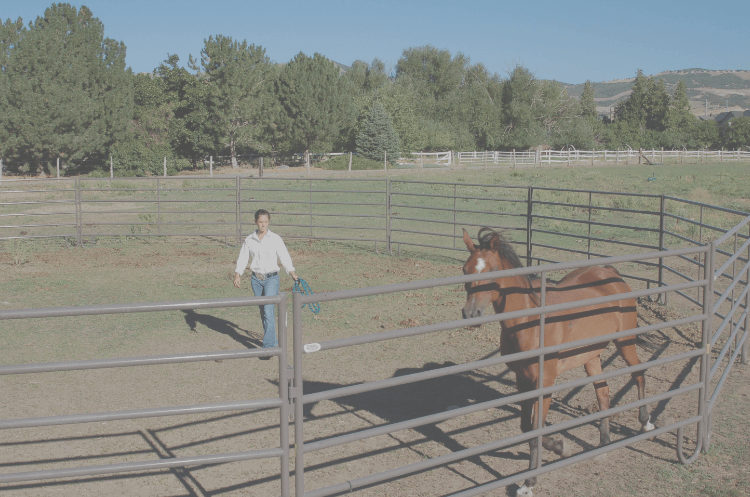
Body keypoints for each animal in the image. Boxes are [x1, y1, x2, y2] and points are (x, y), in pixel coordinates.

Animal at [462, 227, 656, 494]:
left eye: (493, 270)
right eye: (464, 270)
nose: (471, 314)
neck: (531, 323)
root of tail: (611, 274)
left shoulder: (544, 383)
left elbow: (536, 430)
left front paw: (530, 482)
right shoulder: (523, 381)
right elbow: (526, 428)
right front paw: (558, 448)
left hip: (625, 342)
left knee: (638, 375)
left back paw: (646, 424)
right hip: (591, 356)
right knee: (603, 392)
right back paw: (604, 442)